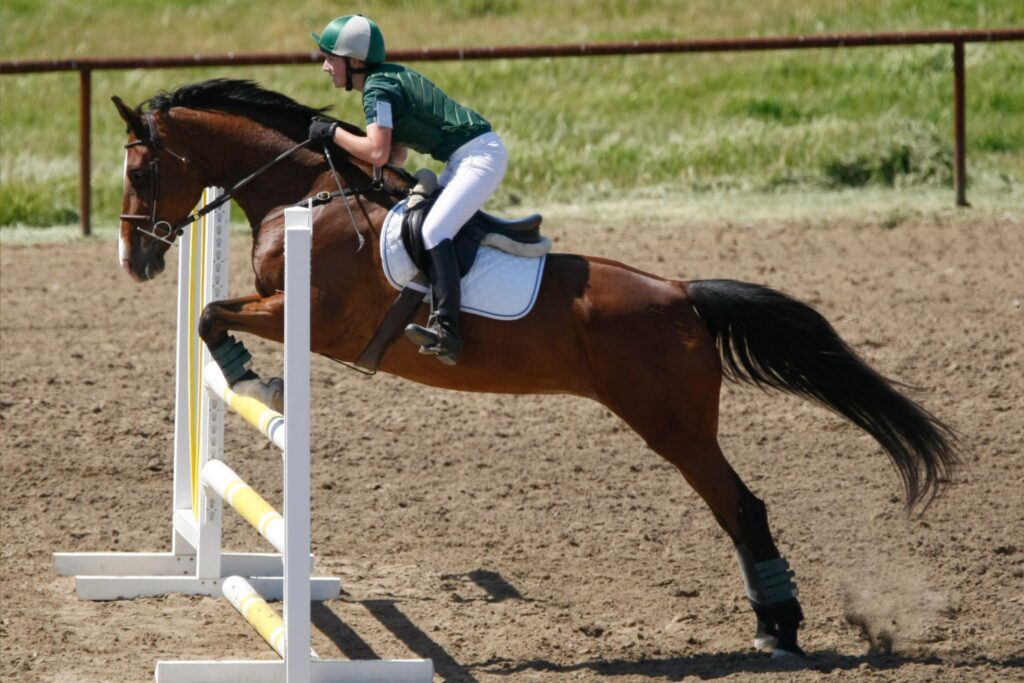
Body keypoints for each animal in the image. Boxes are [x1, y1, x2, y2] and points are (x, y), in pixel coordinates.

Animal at [114, 77, 958, 659]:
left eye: (142, 173)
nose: (135, 260)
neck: (310, 195)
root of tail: (683, 294)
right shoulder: (284, 304)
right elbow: (212, 311)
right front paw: (249, 374)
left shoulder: (309, 316)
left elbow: (210, 315)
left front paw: (250, 375)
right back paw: (776, 623)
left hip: (675, 427)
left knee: (742, 508)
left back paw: (778, 630)